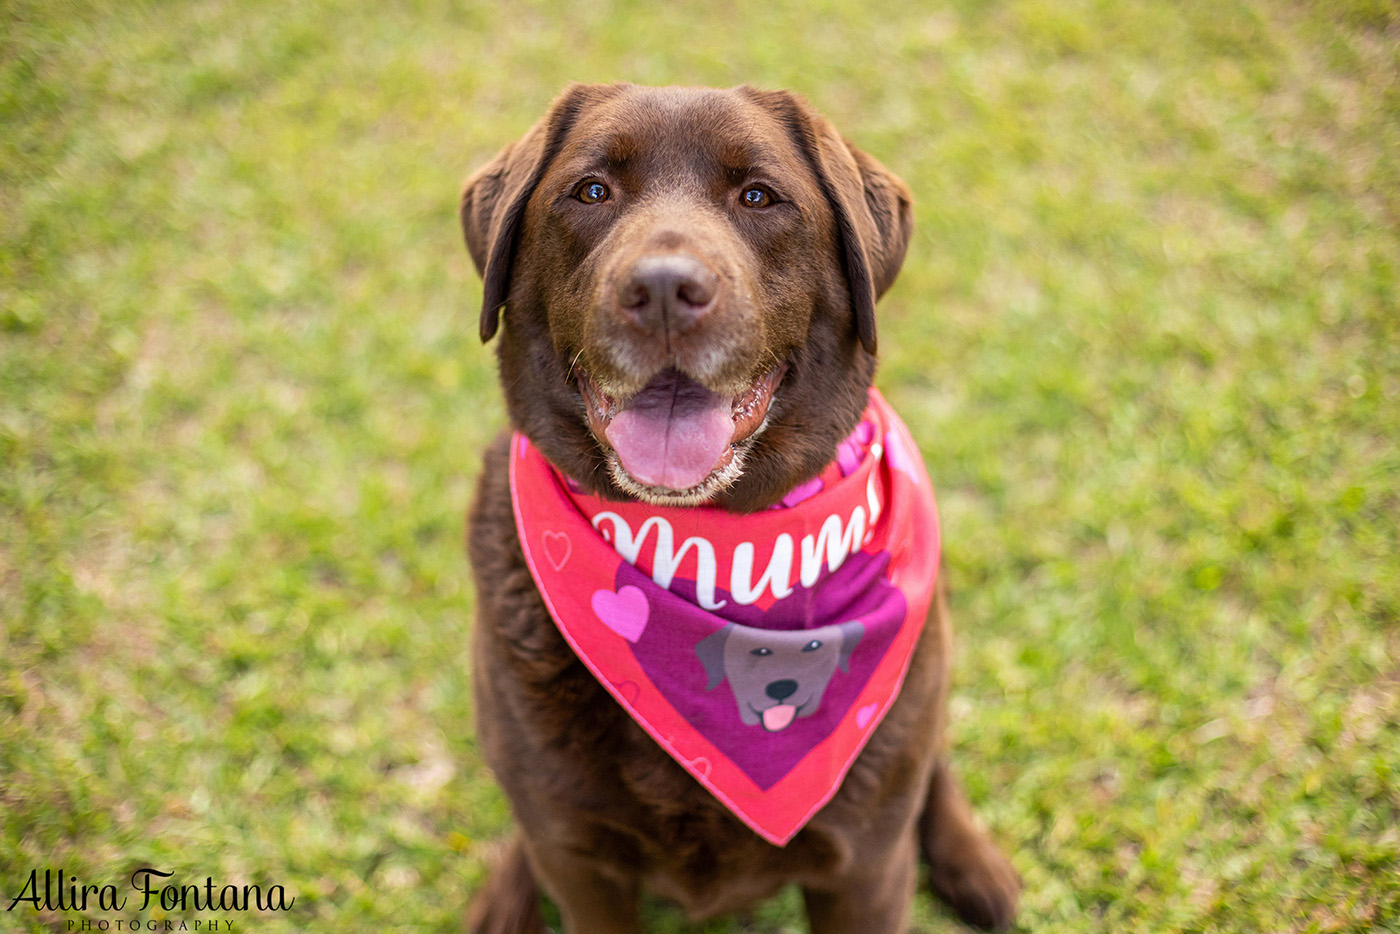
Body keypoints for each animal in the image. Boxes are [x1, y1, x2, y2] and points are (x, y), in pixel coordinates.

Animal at [459, 84, 1019, 929]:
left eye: (758, 196)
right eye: (590, 191)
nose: (663, 288)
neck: (714, 537)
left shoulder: (867, 868)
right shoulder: (582, 864)